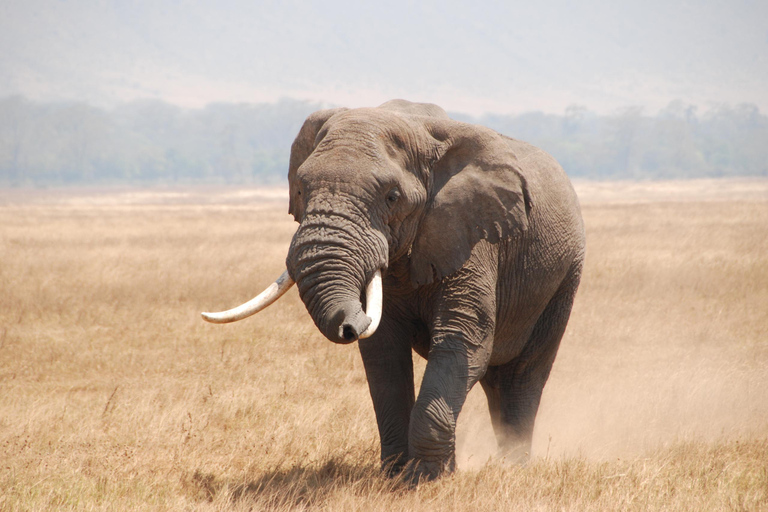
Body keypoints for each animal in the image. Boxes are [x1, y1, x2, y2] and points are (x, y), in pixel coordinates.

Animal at [201, 99, 584, 480]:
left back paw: (513, 468)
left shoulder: (471, 239)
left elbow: (462, 341)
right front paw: (398, 475)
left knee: (523, 375)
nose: (349, 325)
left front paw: (426, 479)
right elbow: (385, 353)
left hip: (565, 276)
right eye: (300, 189)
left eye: (392, 196)